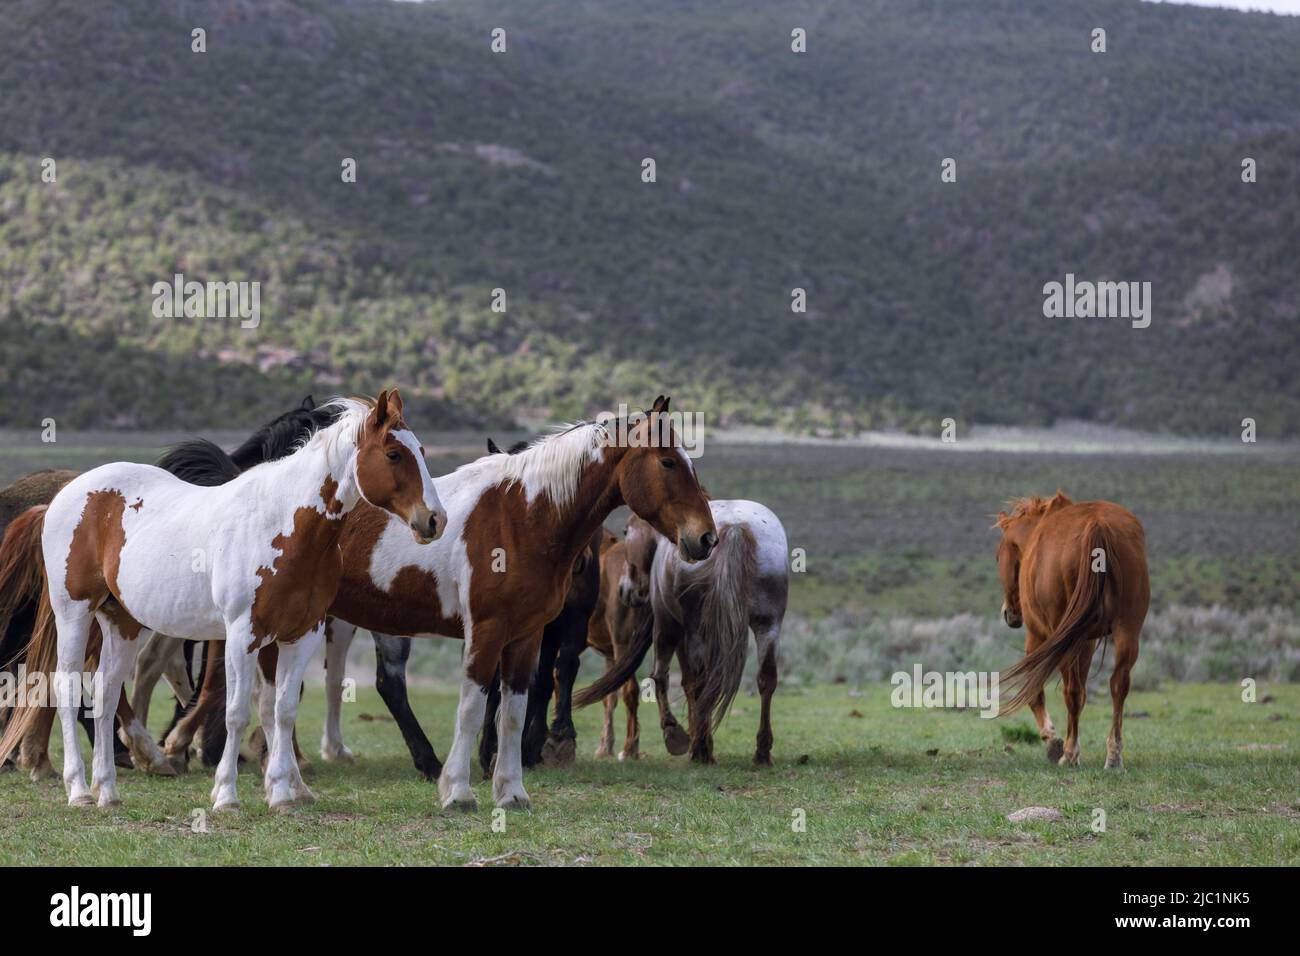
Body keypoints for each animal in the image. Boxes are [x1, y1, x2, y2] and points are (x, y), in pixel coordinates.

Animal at [0, 390, 445, 810]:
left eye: (422, 451)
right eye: (394, 453)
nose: (434, 520)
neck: (281, 523)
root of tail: (63, 495)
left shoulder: (299, 635)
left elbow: (281, 710)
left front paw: (285, 793)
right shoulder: (242, 635)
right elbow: (236, 711)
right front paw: (227, 794)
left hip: (122, 622)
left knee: (107, 697)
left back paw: (108, 789)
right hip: (74, 613)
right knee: (67, 689)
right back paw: (79, 789)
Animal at [323, 395, 717, 810]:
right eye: (668, 462)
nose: (706, 537)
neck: (520, 518)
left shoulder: (527, 634)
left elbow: (514, 708)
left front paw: (511, 791)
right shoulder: (486, 630)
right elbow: (473, 707)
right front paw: (458, 791)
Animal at [575, 499, 789, 765]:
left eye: (626, 531)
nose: (624, 590)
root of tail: (736, 526)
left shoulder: (669, 627)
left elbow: (662, 678)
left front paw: (676, 734)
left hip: (689, 628)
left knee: (693, 683)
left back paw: (697, 748)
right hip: (767, 625)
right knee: (765, 680)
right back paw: (760, 751)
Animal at [993, 491, 1149, 769]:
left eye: (999, 557)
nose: (1009, 613)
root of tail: (1097, 525)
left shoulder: (1038, 637)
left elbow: (1036, 691)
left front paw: (1053, 741)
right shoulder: (1085, 641)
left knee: (1071, 691)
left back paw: (1069, 753)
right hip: (1127, 630)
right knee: (1118, 684)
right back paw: (1113, 756)